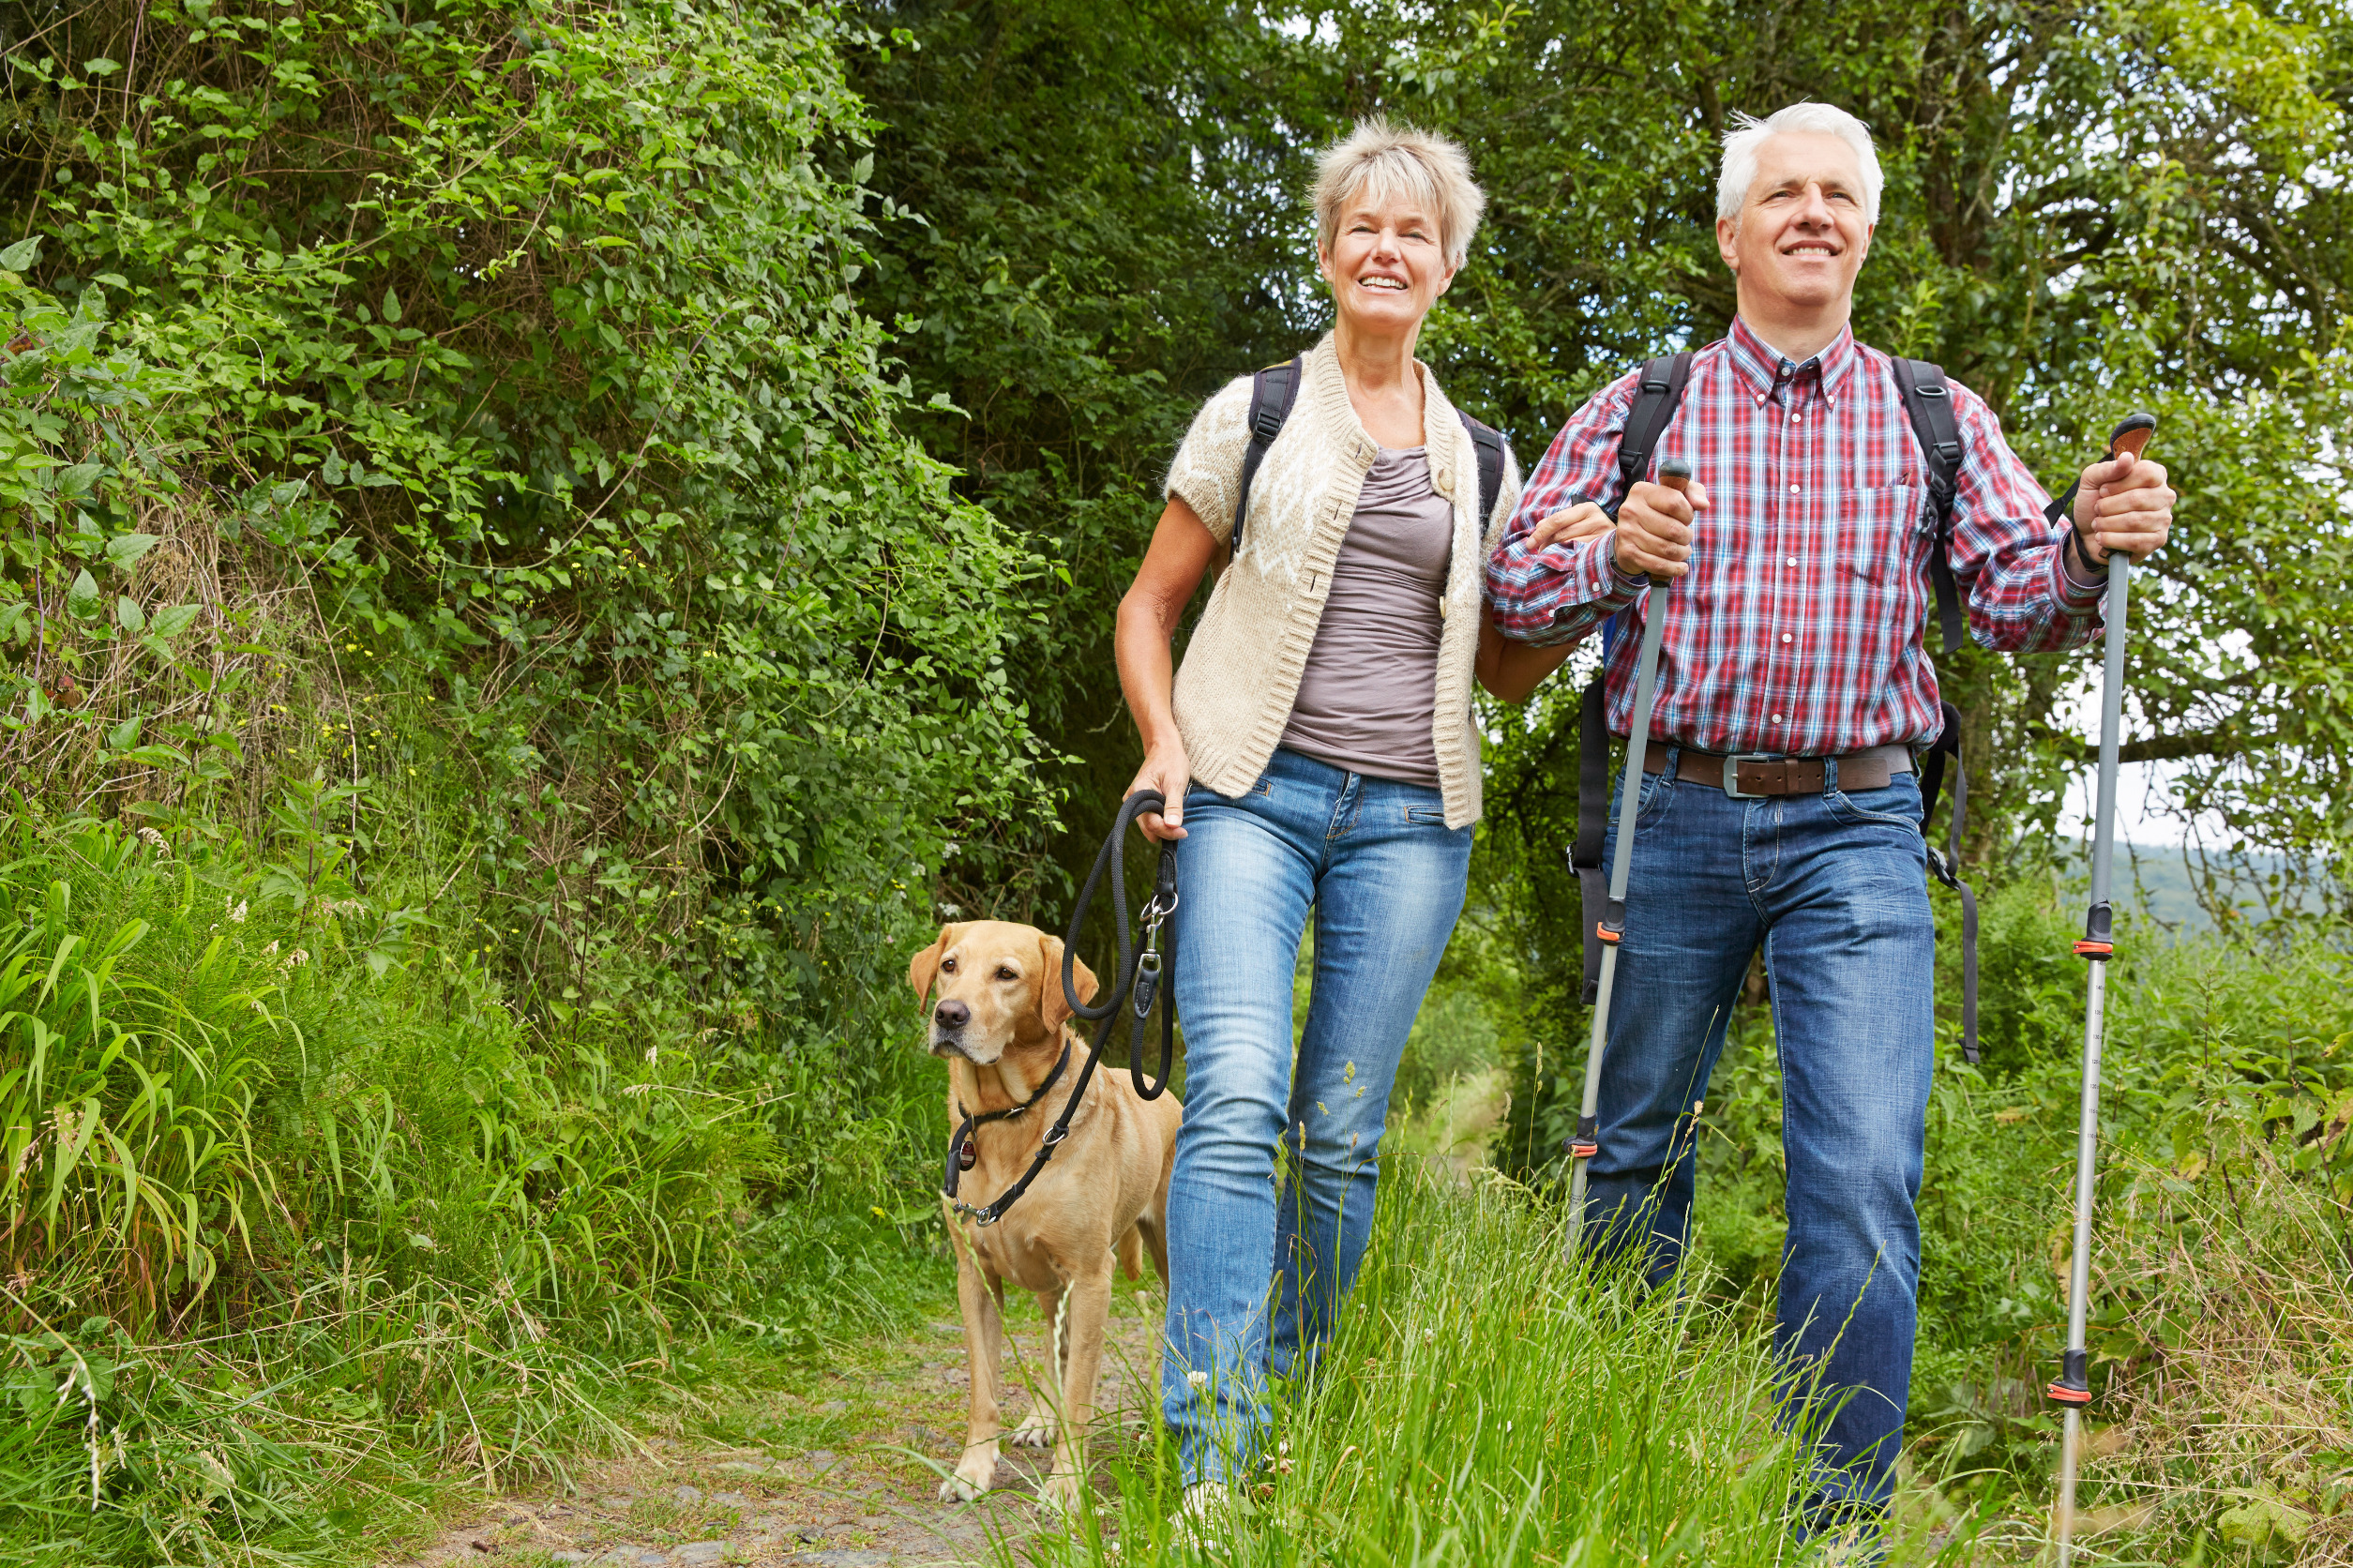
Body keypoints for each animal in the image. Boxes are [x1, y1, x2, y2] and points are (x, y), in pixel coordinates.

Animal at [908, 923, 1185, 1506]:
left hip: (1164, 1255)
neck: (1007, 1118)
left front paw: (1066, 1485)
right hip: (1048, 1285)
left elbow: (1080, 1390)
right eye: (949, 965)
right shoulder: (975, 1278)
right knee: (1051, 1352)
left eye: (1006, 974)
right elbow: (984, 1388)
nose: (948, 1014)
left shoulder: (1091, 1277)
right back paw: (1040, 1417)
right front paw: (972, 1470)